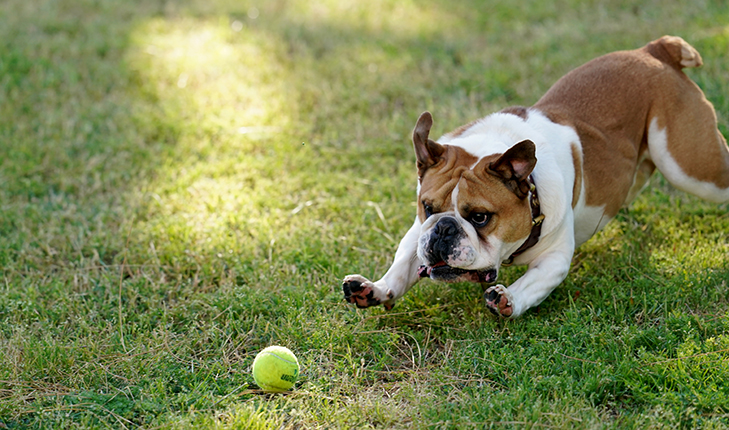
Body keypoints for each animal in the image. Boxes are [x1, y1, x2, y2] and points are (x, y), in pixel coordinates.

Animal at [342, 37, 728, 318]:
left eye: (480, 217)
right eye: (428, 207)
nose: (444, 229)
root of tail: (655, 51)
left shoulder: (555, 258)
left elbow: (533, 283)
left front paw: (508, 298)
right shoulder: (416, 233)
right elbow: (404, 263)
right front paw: (376, 289)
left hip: (689, 168)